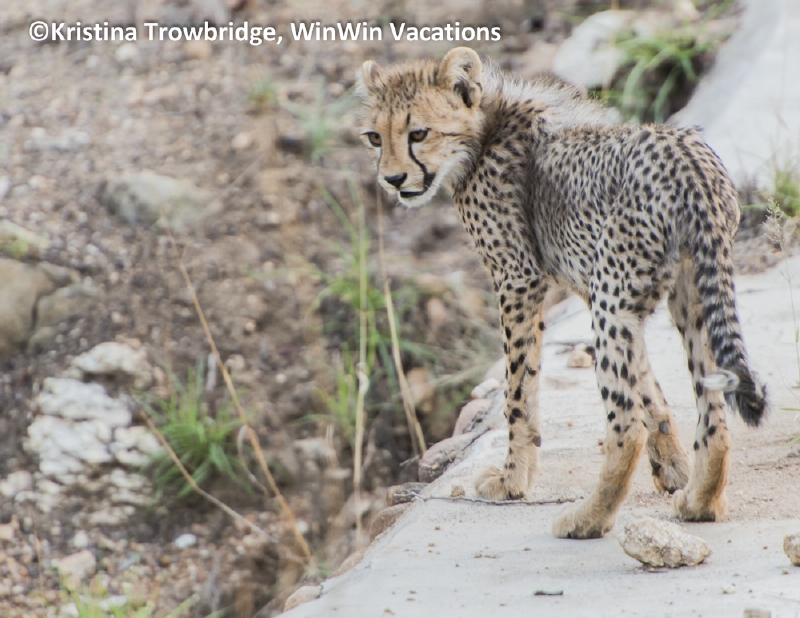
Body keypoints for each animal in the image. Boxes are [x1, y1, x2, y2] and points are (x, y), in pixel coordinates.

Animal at [356, 47, 768, 539]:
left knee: (625, 427)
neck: (482, 133)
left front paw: (512, 481)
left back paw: (587, 519)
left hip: (613, 301)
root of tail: (686, 153)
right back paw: (699, 502)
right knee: (714, 414)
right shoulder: (596, 288)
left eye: (418, 133)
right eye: (374, 137)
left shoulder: (519, 279)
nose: (393, 180)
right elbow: (650, 388)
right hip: (688, 295)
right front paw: (672, 469)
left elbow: (519, 391)